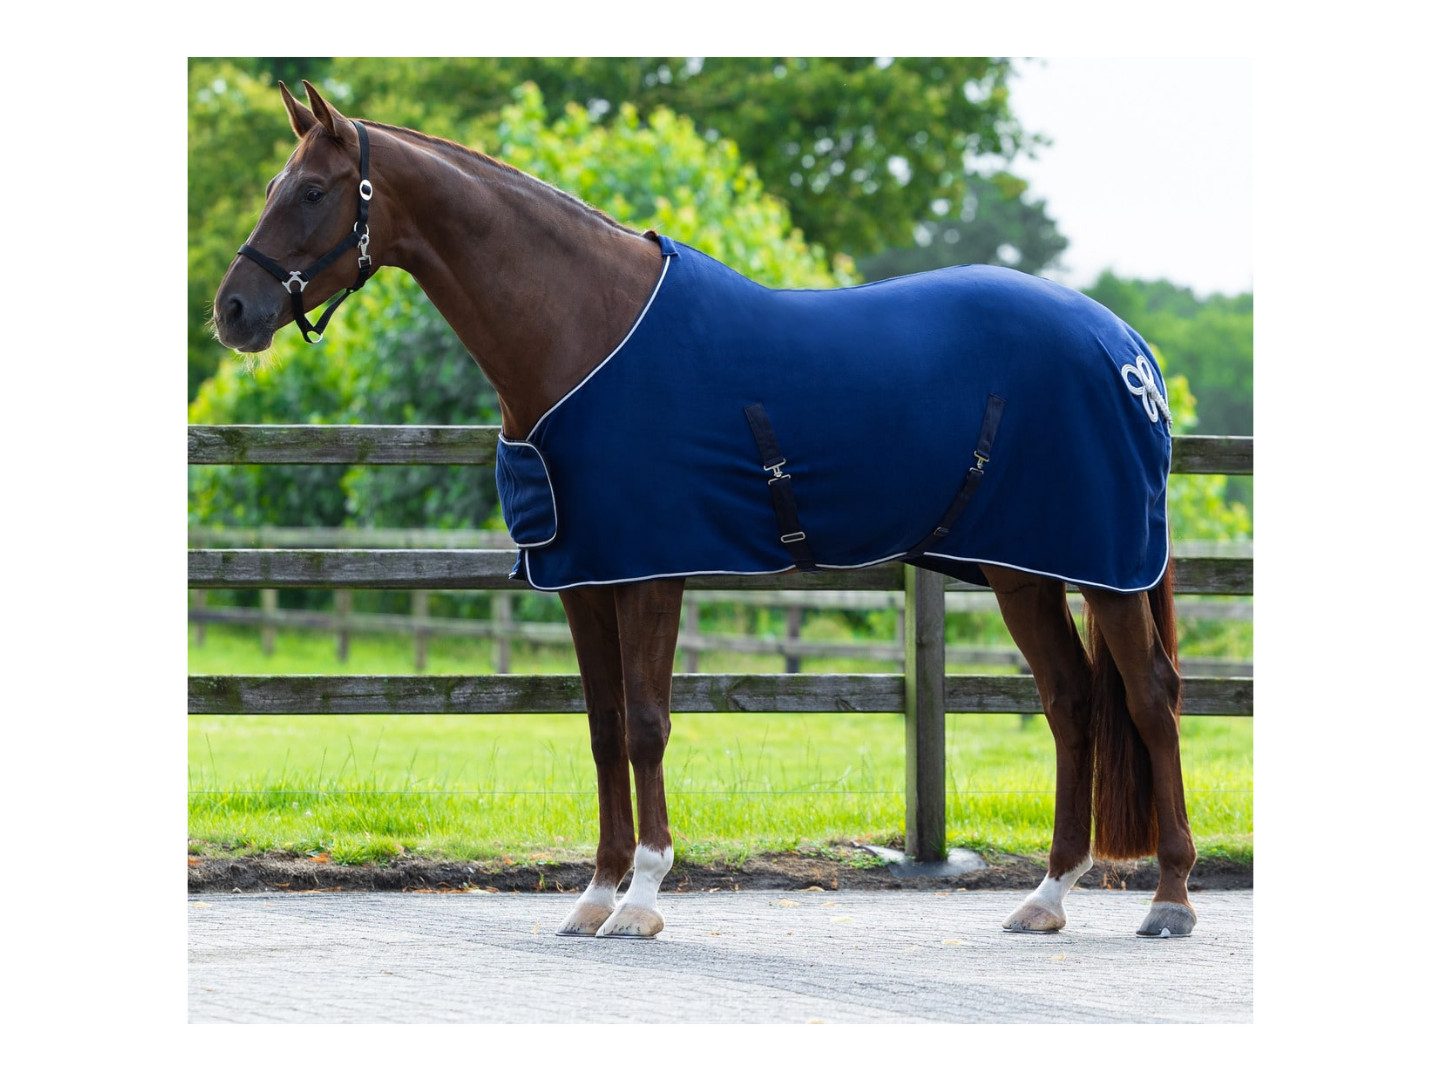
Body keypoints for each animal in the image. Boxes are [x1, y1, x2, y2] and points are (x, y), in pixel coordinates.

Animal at [212, 81, 1197, 941]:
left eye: (312, 190)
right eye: (269, 187)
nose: (233, 311)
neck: (584, 329)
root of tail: (1125, 346)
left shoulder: (652, 568)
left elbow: (648, 724)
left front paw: (644, 898)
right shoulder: (584, 576)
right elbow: (604, 728)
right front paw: (595, 897)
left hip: (1107, 566)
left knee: (1150, 697)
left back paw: (1171, 899)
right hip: (1023, 569)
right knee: (1072, 703)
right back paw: (1047, 896)